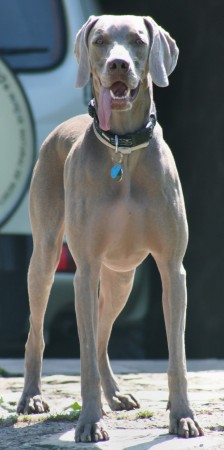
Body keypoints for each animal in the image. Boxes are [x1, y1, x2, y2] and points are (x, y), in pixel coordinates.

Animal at [17, 14, 203, 442]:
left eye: (137, 40)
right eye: (100, 41)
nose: (118, 64)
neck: (123, 148)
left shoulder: (173, 269)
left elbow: (177, 355)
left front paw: (182, 416)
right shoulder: (83, 269)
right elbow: (82, 357)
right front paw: (89, 421)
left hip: (122, 276)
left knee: (102, 334)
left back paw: (115, 394)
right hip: (47, 259)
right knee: (38, 330)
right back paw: (32, 397)